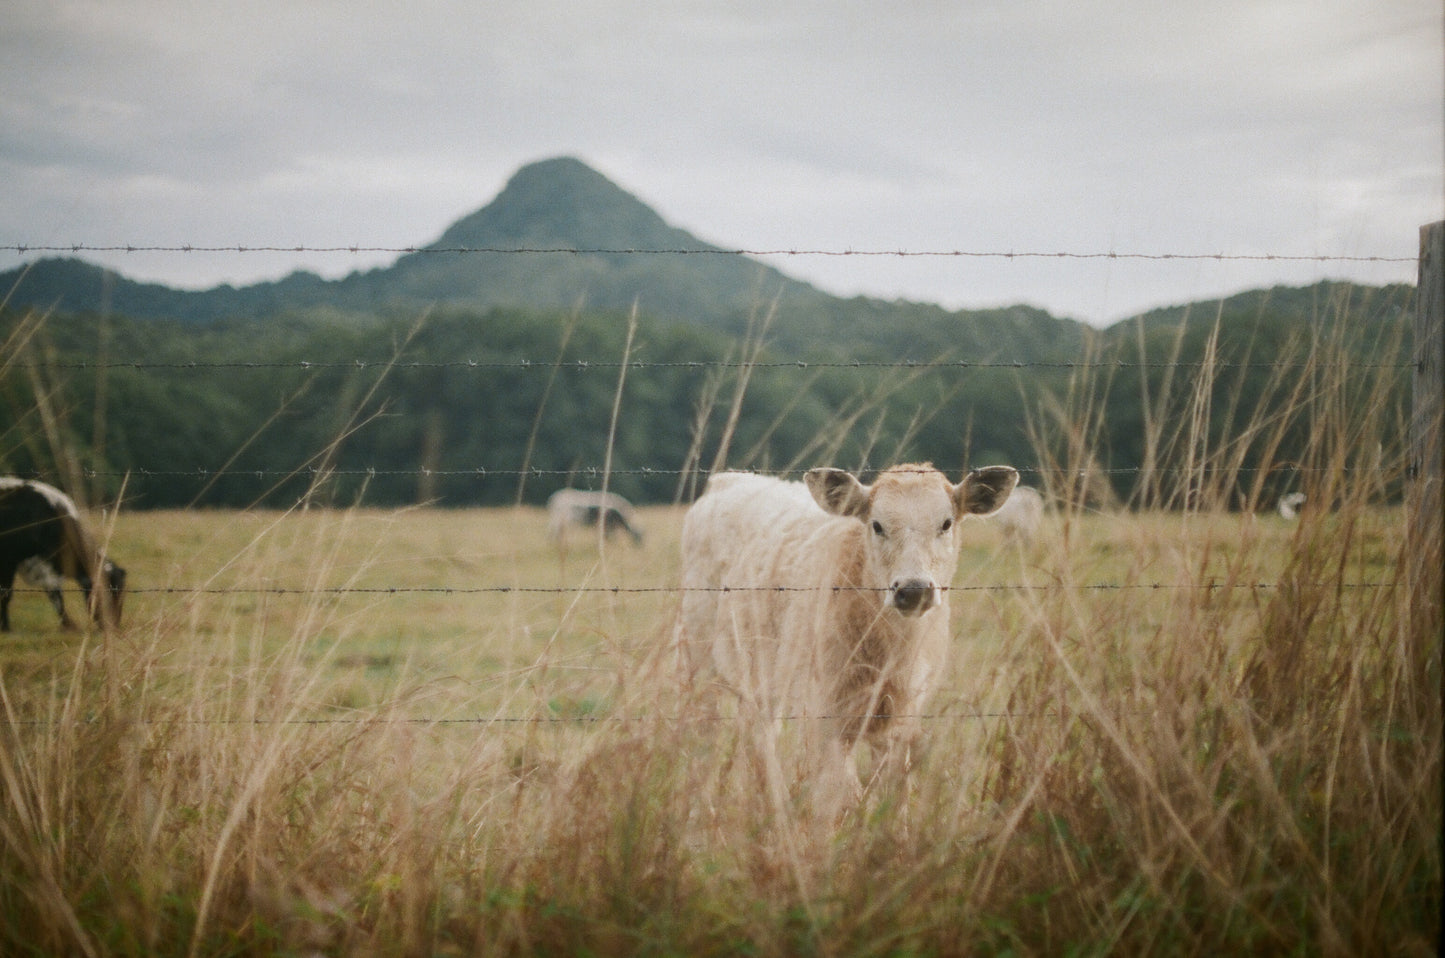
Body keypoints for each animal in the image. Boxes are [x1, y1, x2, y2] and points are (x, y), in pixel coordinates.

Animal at [0, 478, 126, 631]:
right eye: (109, 591)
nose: (114, 626)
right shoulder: (9, 560)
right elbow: (6, 593)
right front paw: (5, 627)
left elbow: (55, 594)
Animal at [674, 462, 1017, 821]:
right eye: (877, 525)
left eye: (946, 523)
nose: (914, 590)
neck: (890, 652)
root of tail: (730, 478)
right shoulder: (823, 714)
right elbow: (836, 798)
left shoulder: (903, 717)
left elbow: (895, 795)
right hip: (697, 660)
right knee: (703, 736)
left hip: (761, 675)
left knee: (758, 734)